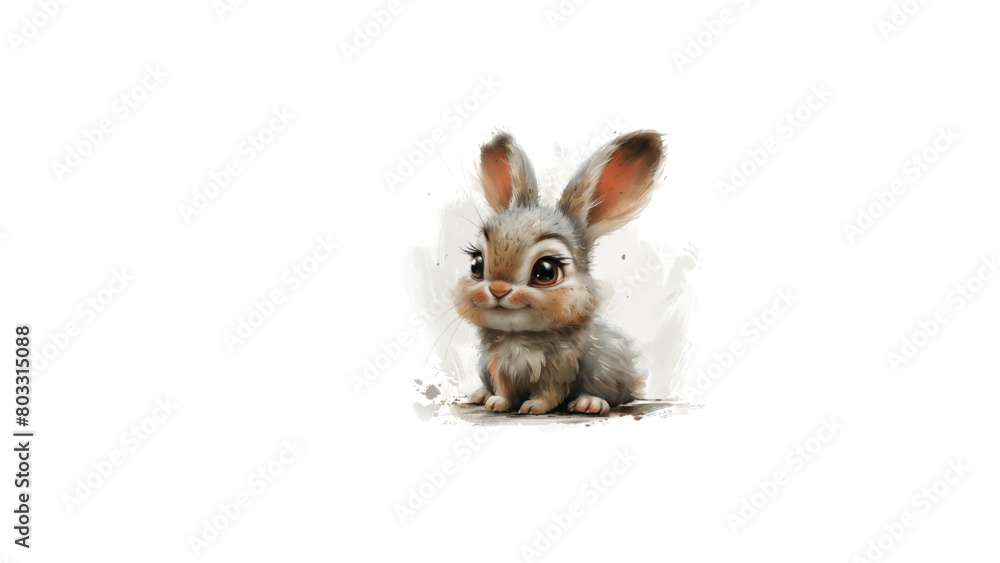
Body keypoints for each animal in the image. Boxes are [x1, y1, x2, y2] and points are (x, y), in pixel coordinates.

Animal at [452, 130, 665, 415]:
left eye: (546, 271)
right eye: (476, 264)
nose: (498, 290)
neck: (517, 334)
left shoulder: (561, 368)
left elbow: (549, 392)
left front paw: (534, 407)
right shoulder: (498, 366)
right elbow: (504, 388)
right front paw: (497, 403)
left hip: (609, 365)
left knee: (616, 396)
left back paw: (590, 402)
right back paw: (480, 394)